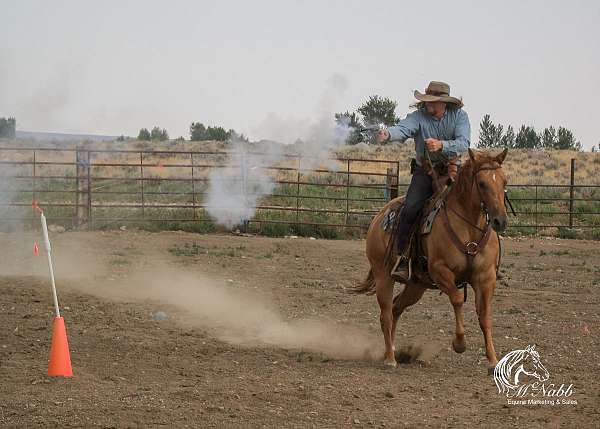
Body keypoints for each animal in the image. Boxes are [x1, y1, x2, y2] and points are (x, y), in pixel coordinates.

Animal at [350, 147, 508, 372]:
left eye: (504, 181)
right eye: (482, 183)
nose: (500, 221)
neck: (468, 228)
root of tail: (379, 216)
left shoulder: (486, 278)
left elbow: (485, 315)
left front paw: (493, 360)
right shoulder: (440, 271)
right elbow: (457, 299)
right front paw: (459, 343)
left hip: (416, 285)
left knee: (397, 307)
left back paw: (393, 350)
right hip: (383, 277)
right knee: (386, 314)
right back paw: (390, 358)